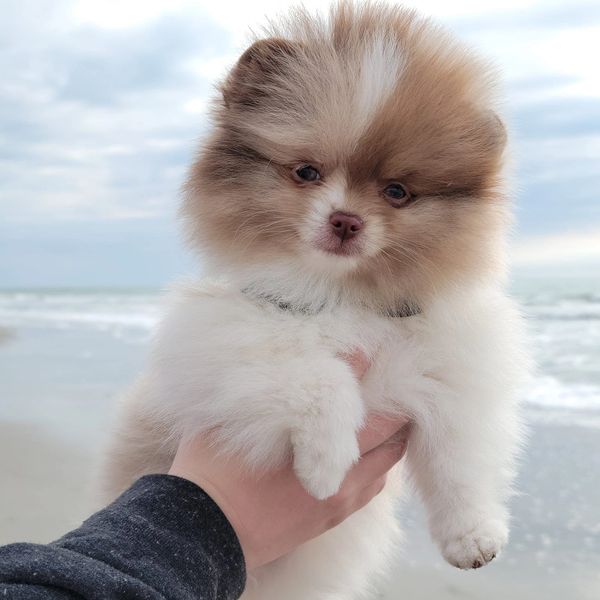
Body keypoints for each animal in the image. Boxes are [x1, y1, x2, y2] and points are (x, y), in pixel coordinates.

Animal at [102, 2, 528, 596]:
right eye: (307, 171)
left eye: (397, 192)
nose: (345, 220)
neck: (340, 294)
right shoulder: (221, 343)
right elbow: (316, 371)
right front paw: (327, 463)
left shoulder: (448, 369)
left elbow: (458, 457)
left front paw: (472, 536)